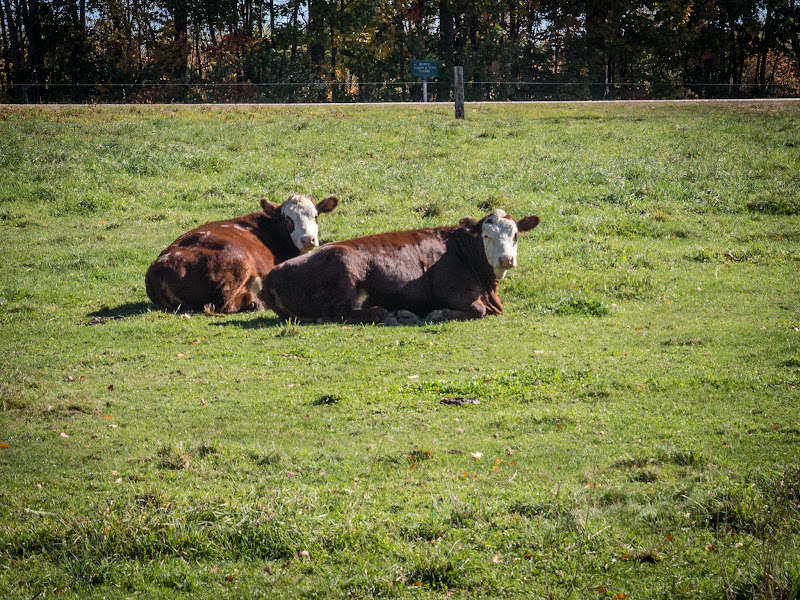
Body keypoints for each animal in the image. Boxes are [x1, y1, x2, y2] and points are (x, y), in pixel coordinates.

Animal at [145, 193, 340, 314]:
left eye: (316, 216)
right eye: (288, 220)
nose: (308, 239)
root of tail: (160, 265)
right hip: (237, 261)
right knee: (220, 304)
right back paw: (255, 302)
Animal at [260, 210, 536, 326]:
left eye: (515, 235)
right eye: (486, 236)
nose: (506, 259)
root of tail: (273, 273)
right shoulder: (456, 292)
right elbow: (478, 310)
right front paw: (439, 314)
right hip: (344, 271)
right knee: (336, 314)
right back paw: (388, 314)